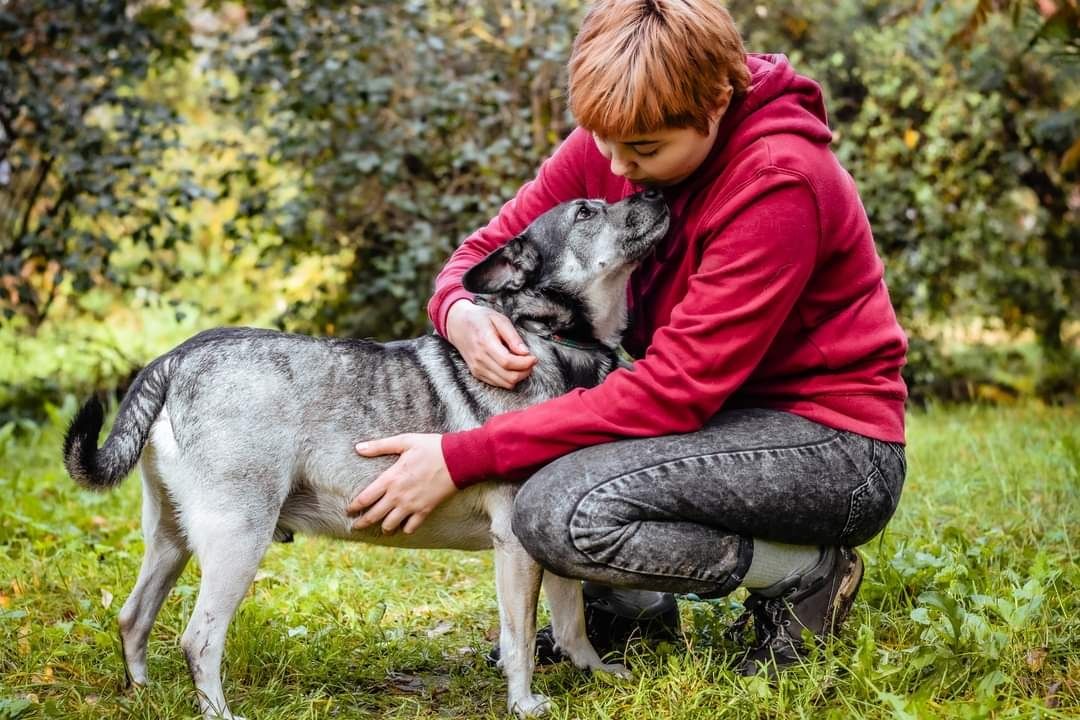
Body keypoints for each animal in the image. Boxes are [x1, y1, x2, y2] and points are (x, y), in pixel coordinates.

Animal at [63, 188, 669, 716]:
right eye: (586, 211)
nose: (653, 193)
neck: (557, 342)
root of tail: (175, 358)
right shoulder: (515, 548)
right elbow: (518, 639)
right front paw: (522, 704)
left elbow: (571, 621)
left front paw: (594, 672)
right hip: (237, 536)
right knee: (198, 640)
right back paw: (218, 713)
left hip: (171, 537)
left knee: (133, 618)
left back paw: (143, 694)